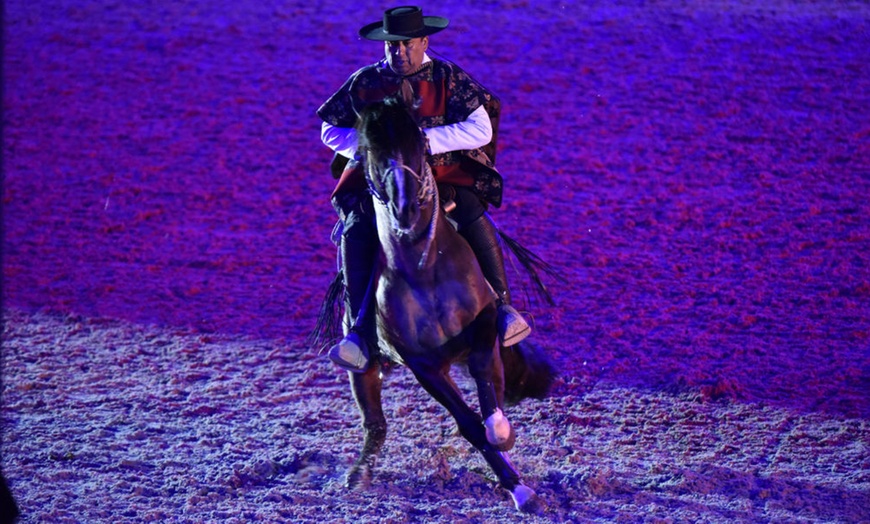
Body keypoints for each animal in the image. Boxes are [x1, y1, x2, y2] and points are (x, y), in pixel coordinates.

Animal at [324, 98, 556, 516]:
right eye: (370, 152)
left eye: (420, 143)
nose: (404, 208)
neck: (424, 268)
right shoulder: (423, 364)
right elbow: (468, 424)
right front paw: (517, 486)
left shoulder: (483, 327)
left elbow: (485, 387)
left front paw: (503, 441)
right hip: (364, 367)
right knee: (375, 422)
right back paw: (360, 473)